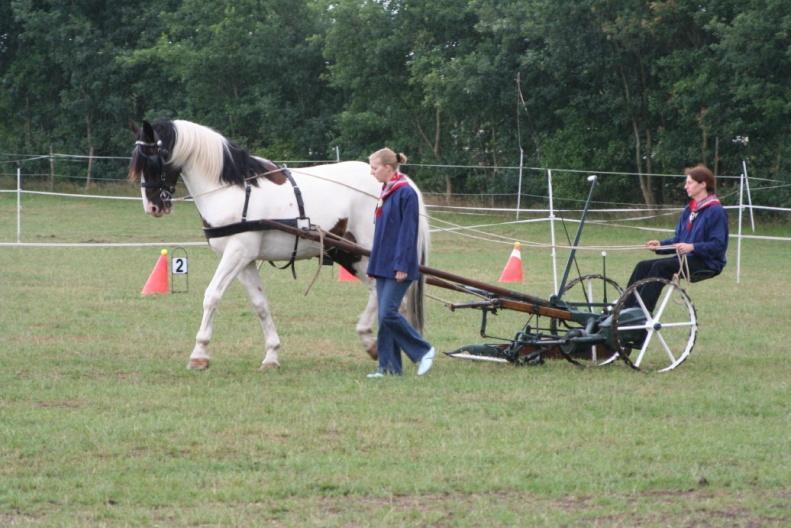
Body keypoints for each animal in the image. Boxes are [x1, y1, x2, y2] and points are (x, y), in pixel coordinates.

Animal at [128, 117, 434, 370]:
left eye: (152, 158)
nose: (152, 207)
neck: (232, 189)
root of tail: (401, 181)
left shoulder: (236, 253)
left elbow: (212, 295)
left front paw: (199, 354)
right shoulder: (246, 260)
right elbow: (260, 304)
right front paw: (272, 355)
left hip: (368, 254)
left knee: (386, 295)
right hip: (348, 253)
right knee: (384, 296)